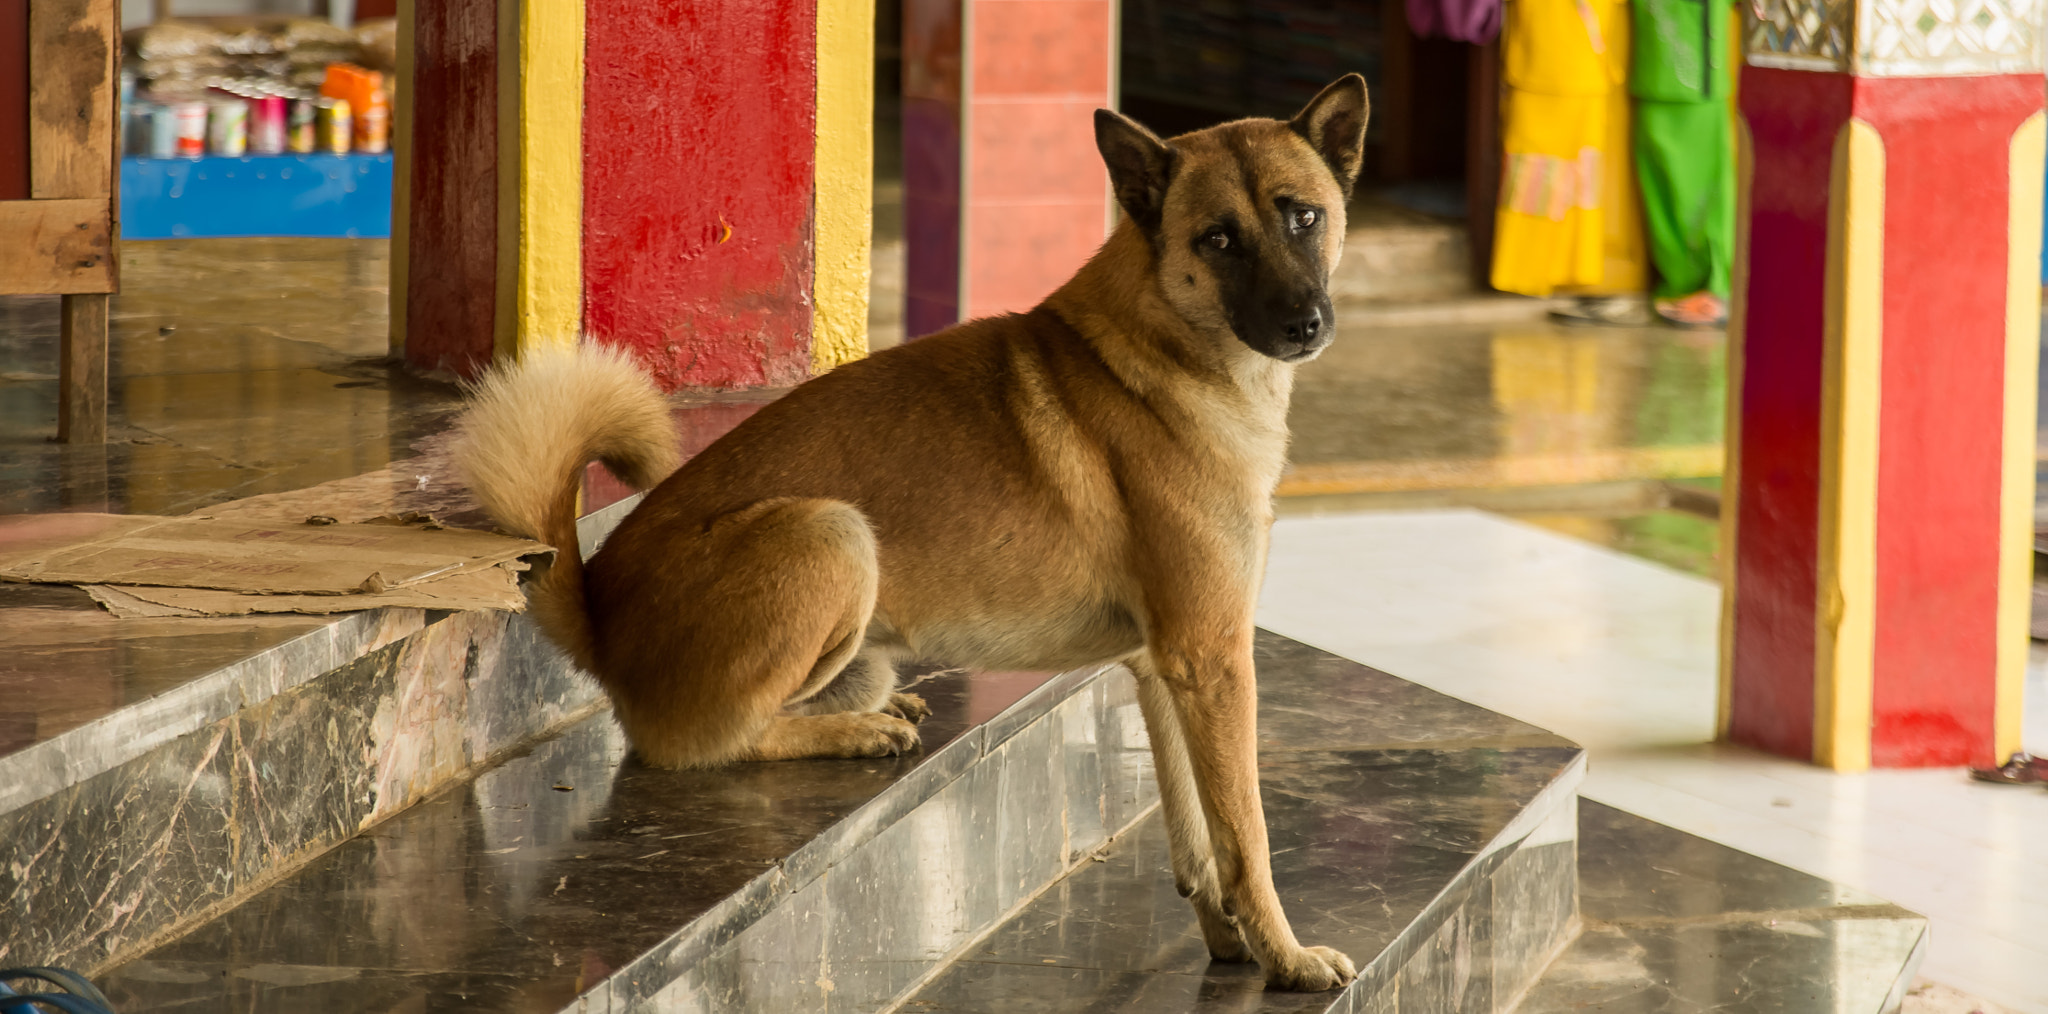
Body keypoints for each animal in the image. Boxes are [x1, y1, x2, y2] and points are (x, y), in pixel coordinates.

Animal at [456, 73, 1368, 991]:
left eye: (1304, 217)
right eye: (1218, 239)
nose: (1306, 324)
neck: (1164, 343)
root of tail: (598, 606)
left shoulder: (1164, 667)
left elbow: (1199, 840)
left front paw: (1232, 939)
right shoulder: (1213, 662)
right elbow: (1246, 834)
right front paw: (1286, 954)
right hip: (832, 535)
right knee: (703, 745)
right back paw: (852, 732)